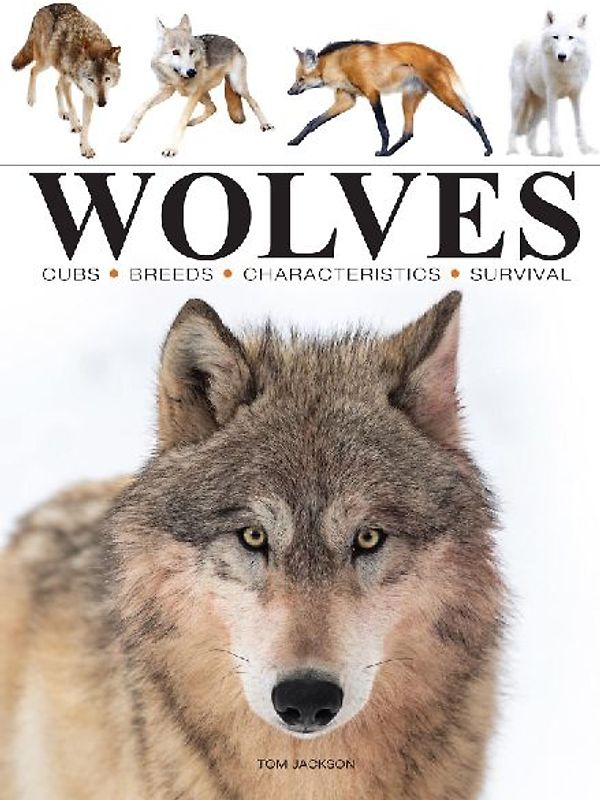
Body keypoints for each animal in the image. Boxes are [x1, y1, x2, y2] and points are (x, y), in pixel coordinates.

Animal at [11, 3, 121, 159]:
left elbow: (87, 123)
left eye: (107, 78)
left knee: (56, 86)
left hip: (57, 70)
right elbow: (73, 107)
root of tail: (44, 8)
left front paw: (85, 147)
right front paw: (75, 125)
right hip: (46, 61)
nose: (102, 103)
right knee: (33, 71)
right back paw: (31, 98)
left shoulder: (88, 95)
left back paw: (62, 113)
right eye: (91, 79)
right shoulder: (74, 84)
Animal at [120, 14, 273, 158]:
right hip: (201, 93)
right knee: (213, 107)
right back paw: (193, 121)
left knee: (253, 102)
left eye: (191, 51)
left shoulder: (193, 94)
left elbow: (181, 119)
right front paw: (127, 132)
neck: (178, 78)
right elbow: (141, 107)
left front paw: (171, 147)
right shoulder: (167, 90)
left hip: (236, 86)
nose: (192, 72)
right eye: (175, 52)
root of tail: (234, 42)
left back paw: (266, 125)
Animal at [287, 41, 493, 156]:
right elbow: (313, 122)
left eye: (301, 79)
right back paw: (391, 154)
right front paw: (295, 141)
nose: (289, 91)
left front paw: (382, 149)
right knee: (408, 132)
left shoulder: (372, 93)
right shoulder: (346, 101)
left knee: (475, 118)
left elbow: (382, 127)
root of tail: (441, 55)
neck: (339, 65)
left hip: (443, 92)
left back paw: (489, 150)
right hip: (409, 98)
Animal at [508, 11, 595, 156]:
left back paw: (536, 153)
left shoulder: (576, 95)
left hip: (542, 106)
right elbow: (554, 126)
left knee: (531, 127)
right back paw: (512, 150)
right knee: (513, 127)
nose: (561, 56)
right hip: (520, 100)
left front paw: (585, 149)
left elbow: (579, 124)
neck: (566, 70)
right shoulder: (553, 96)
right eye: (555, 37)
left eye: (570, 37)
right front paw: (556, 150)